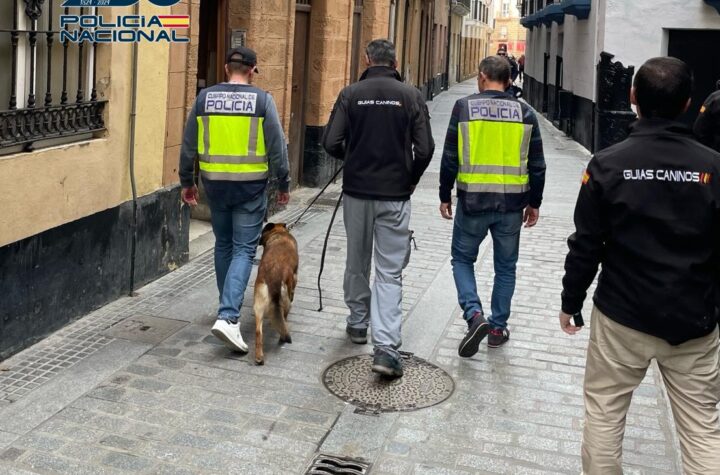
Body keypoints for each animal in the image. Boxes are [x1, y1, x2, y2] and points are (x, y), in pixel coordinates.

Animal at [253, 222, 298, 364]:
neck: (278, 233)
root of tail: (273, 277)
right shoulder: (294, 277)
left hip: (258, 304)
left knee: (258, 332)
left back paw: (259, 357)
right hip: (285, 301)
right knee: (283, 319)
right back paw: (282, 338)